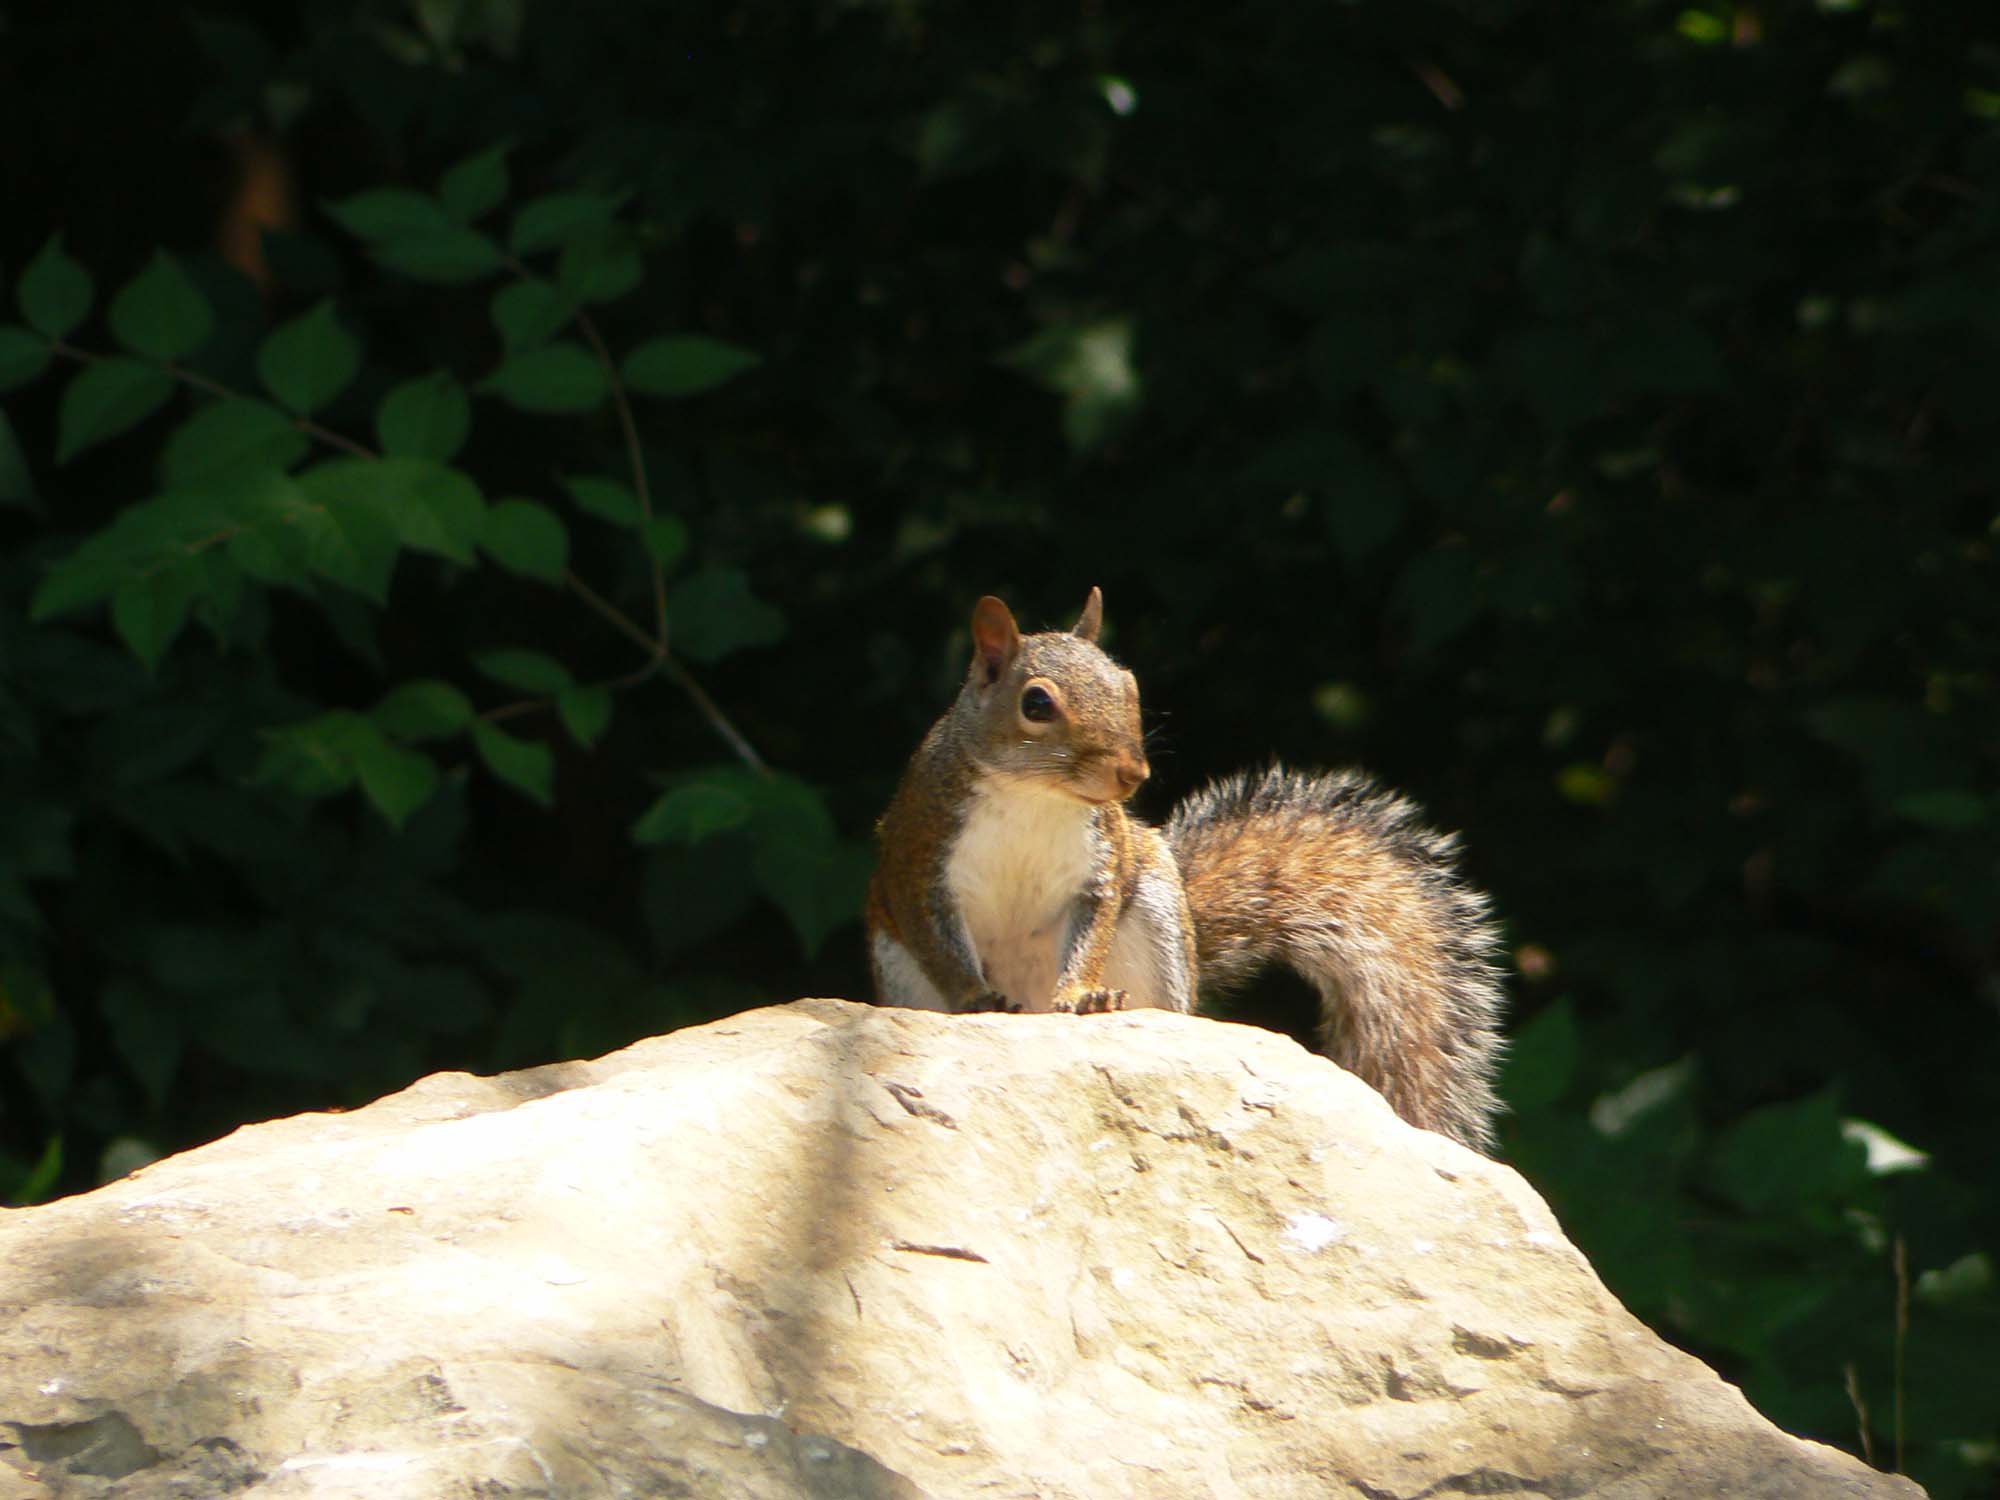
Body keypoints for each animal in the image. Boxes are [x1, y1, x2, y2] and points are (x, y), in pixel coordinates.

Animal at [868, 588, 1504, 1152]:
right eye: (1037, 704)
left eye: (1129, 685)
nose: (1131, 773)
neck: (1036, 798)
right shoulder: (918, 859)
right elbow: (937, 939)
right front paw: (975, 994)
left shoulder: (1104, 867)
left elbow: (1091, 933)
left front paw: (1081, 993)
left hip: (1157, 915)